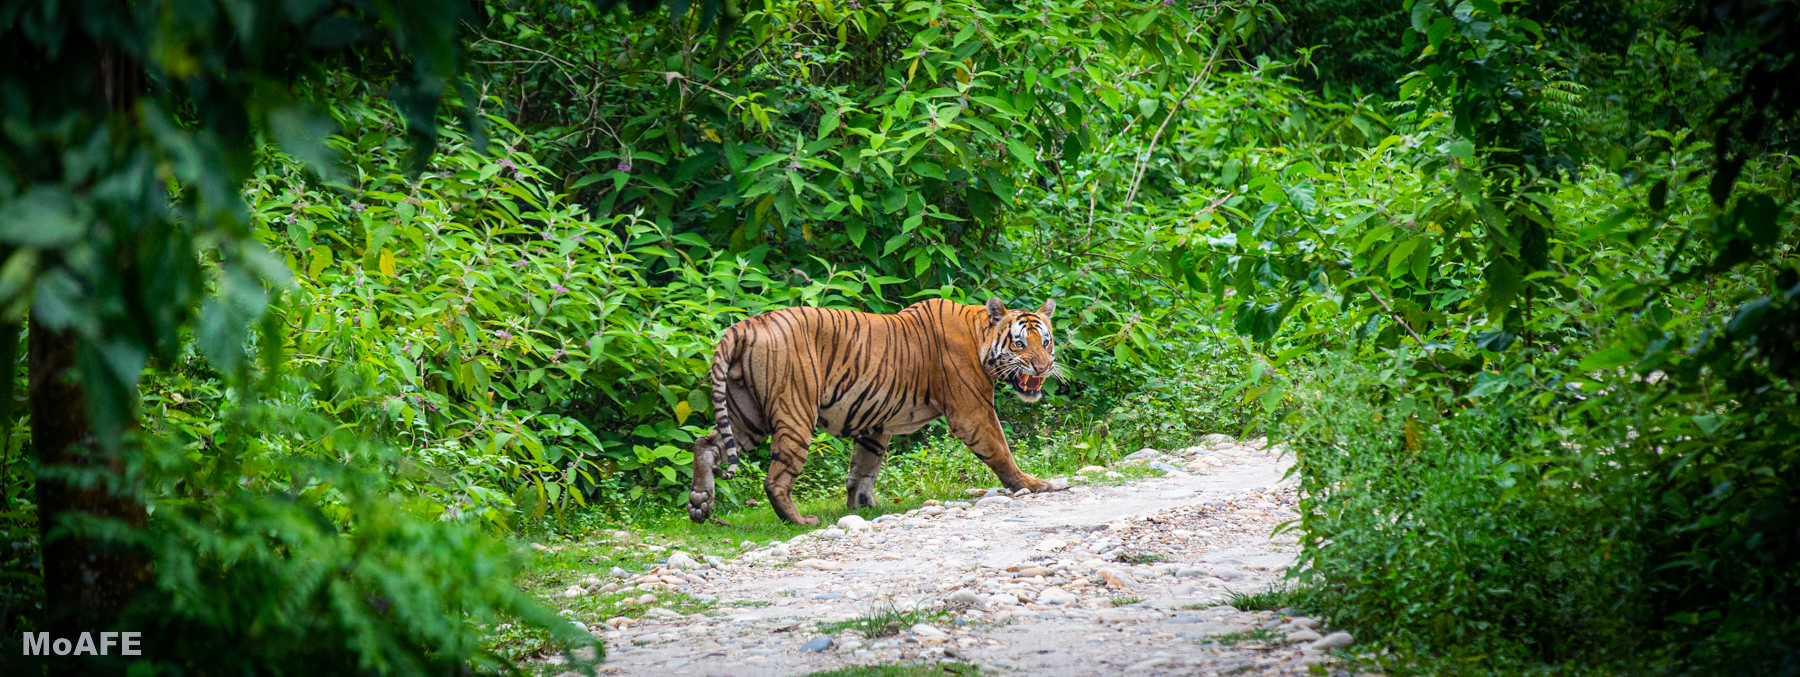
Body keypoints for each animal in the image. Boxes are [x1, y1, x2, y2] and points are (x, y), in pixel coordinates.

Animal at [686, 297, 1061, 525]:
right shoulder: (973, 411)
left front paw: (863, 507)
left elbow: (863, 470)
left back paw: (699, 502)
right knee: (775, 479)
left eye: (1046, 342)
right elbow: (1000, 448)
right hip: (795, 411)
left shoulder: (874, 423)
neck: (980, 335)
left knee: (705, 443)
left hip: (747, 414)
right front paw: (1032, 484)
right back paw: (799, 520)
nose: (1043, 368)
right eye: (1019, 344)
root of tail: (745, 325)